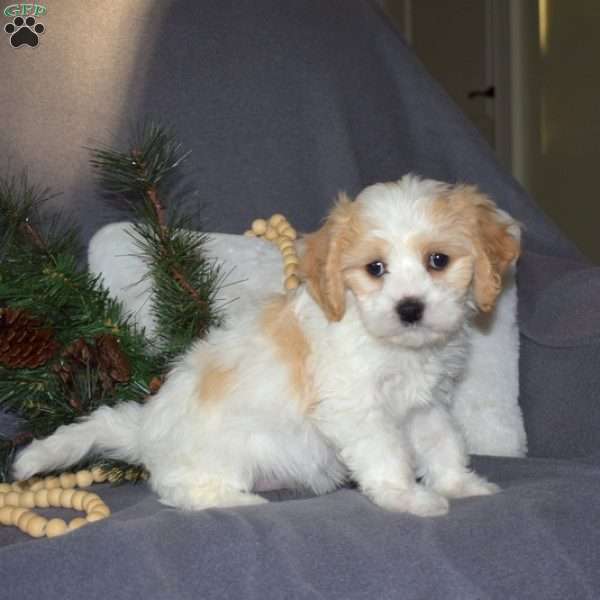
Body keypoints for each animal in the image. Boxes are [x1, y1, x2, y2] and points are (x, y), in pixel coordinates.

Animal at [14, 173, 520, 516]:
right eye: (375, 269)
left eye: (438, 260)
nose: (410, 308)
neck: (389, 341)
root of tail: (145, 429)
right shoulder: (357, 408)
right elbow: (387, 453)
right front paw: (408, 497)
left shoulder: (426, 404)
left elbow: (442, 442)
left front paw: (459, 485)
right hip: (216, 459)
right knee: (181, 491)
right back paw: (238, 501)